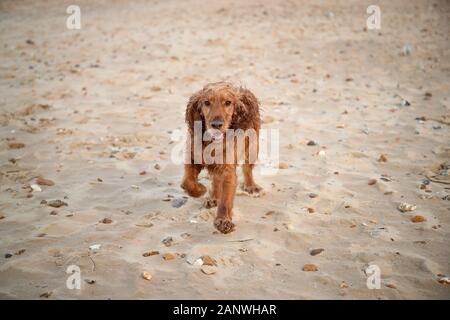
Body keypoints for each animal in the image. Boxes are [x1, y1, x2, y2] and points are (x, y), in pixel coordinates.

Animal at [181, 81, 262, 234]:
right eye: (206, 102)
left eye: (228, 102)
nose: (216, 125)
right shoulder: (193, 158)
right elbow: (187, 182)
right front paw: (199, 190)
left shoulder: (228, 170)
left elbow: (225, 200)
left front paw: (223, 221)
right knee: (215, 179)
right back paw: (213, 198)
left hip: (252, 147)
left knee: (247, 168)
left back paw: (250, 186)